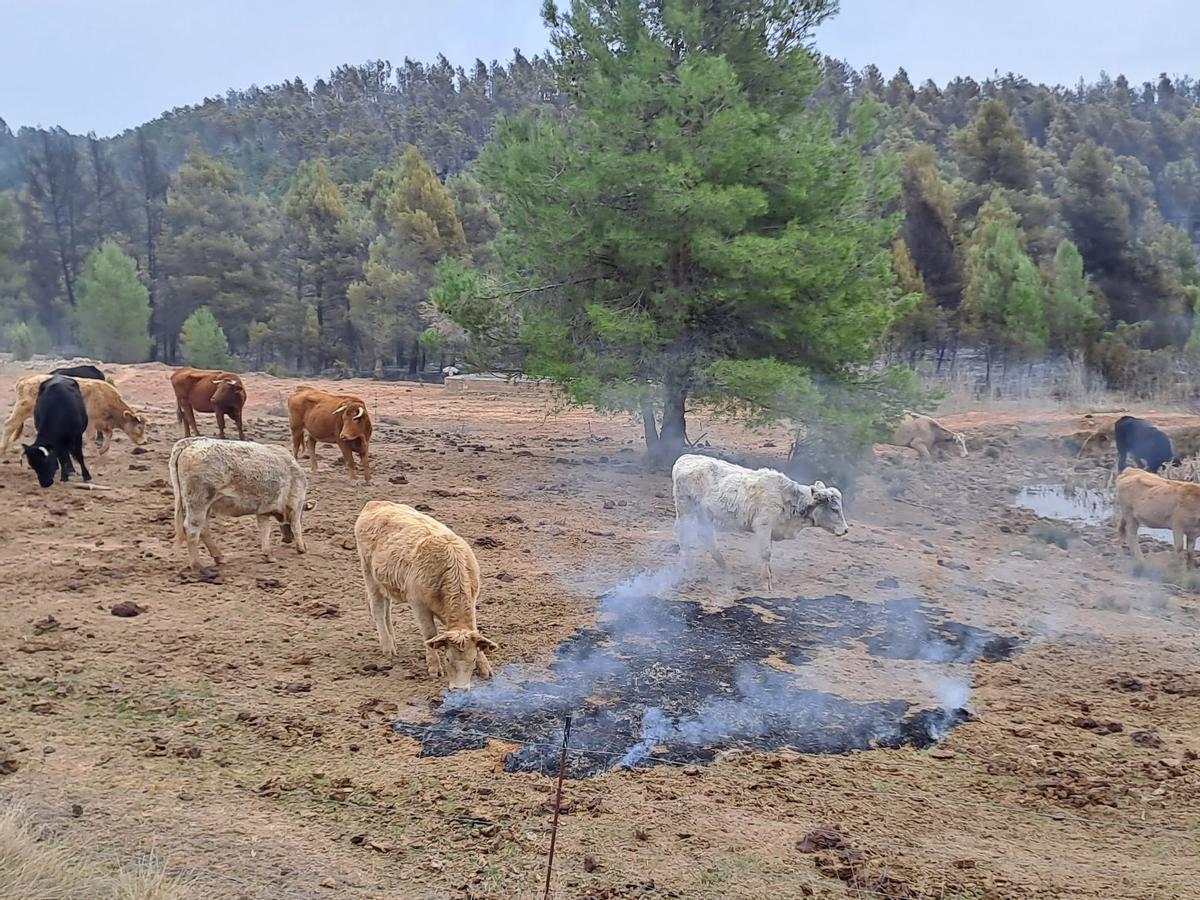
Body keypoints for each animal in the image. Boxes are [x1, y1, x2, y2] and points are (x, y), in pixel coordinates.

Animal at [2, 374, 148, 453]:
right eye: (139, 427)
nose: (144, 442)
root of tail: (26, 378)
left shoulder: (103, 423)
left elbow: (108, 435)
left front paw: (102, 450)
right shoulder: (91, 421)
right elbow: (91, 437)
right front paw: (94, 453)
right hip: (23, 408)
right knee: (9, 425)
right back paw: (3, 448)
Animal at [172, 439, 319, 578]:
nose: (287, 539)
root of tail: (191, 443)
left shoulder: (263, 510)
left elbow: (265, 530)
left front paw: (268, 555)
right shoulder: (296, 502)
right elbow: (296, 526)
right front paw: (302, 548)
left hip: (205, 506)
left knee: (204, 529)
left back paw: (220, 558)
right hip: (198, 501)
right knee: (192, 529)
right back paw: (198, 566)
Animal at [350, 501, 496, 691]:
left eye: (472, 659)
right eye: (447, 658)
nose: (460, 689)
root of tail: (375, 503)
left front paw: (485, 667)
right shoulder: (419, 605)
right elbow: (429, 634)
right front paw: (434, 667)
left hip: (385, 583)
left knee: (387, 608)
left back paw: (393, 641)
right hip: (369, 574)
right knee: (378, 609)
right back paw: (388, 647)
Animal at [672, 453, 849, 595]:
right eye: (834, 509)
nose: (846, 530)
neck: (788, 498)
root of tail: (685, 458)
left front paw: (772, 577)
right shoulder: (763, 526)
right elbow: (766, 553)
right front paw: (766, 583)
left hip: (704, 515)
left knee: (706, 536)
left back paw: (723, 566)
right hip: (685, 510)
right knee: (684, 535)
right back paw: (686, 567)